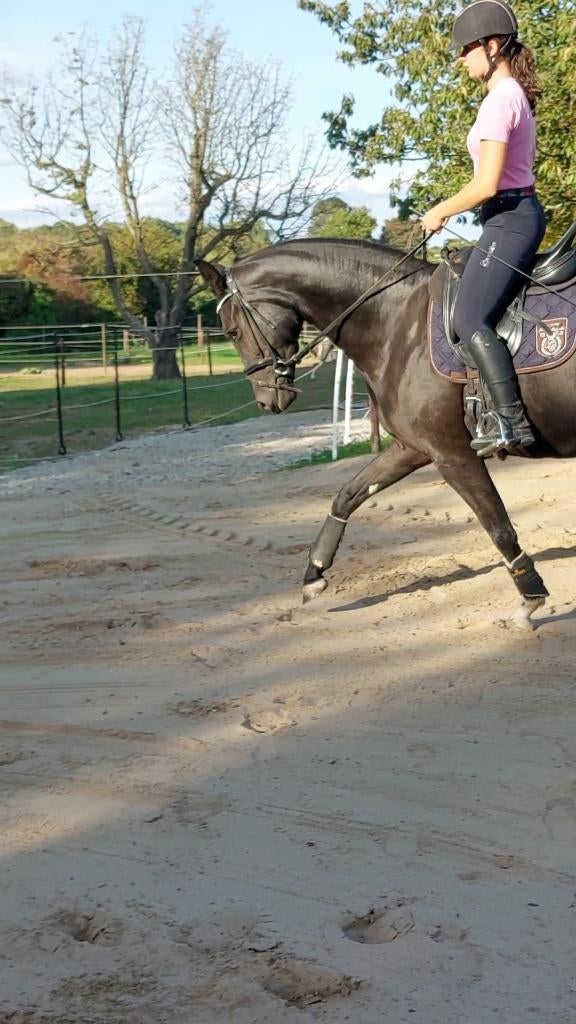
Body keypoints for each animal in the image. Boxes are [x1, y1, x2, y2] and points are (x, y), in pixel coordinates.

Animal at [197, 236, 576, 630]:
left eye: (232, 332)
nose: (266, 401)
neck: (395, 321)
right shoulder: (414, 447)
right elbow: (348, 495)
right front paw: (314, 572)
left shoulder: (454, 456)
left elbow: (497, 525)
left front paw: (531, 598)